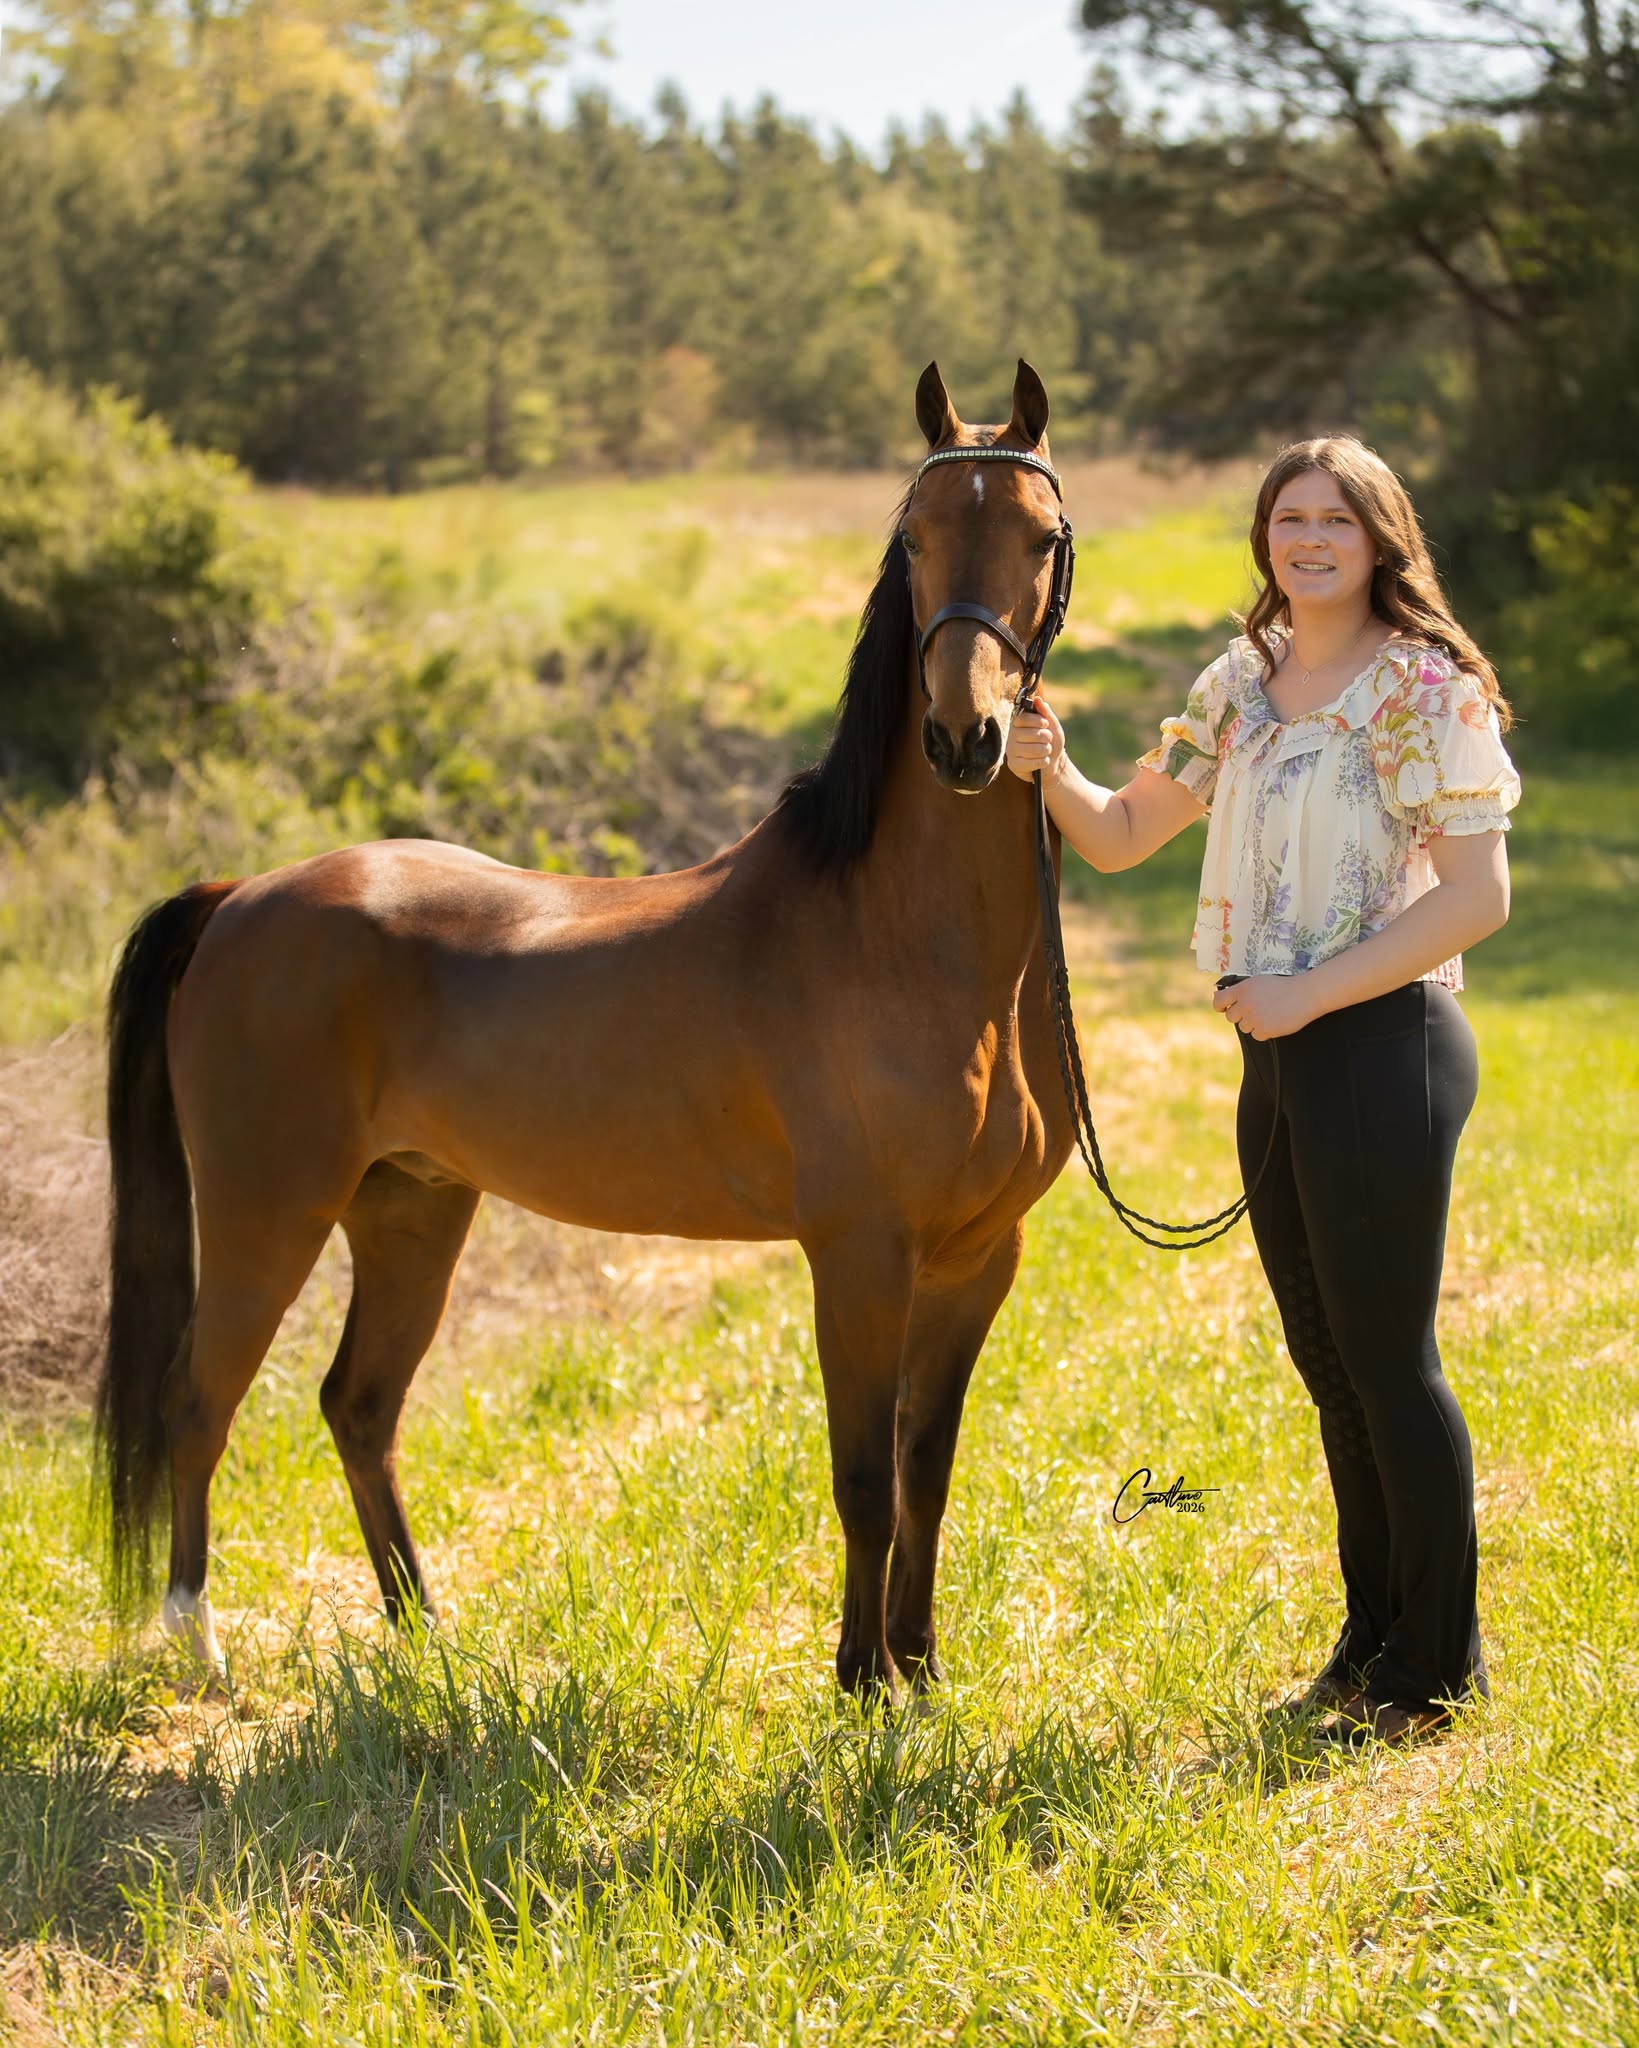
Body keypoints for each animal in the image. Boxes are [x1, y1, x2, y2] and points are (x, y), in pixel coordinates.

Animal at [97, 358, 1080, 1695]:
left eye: (1040, 537)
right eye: (915, 538)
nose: (964, 738)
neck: (906, 938)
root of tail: (240, 896)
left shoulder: (979, 1257)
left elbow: (926, 1468)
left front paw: (917, 1671)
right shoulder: (860, 1254)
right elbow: (865, 1478)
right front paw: (858, 1678)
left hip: (409, 1209)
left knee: (358, 1402)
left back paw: (423, 1635)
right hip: (267, 1212)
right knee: (200, 1402)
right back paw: (200, 1646)